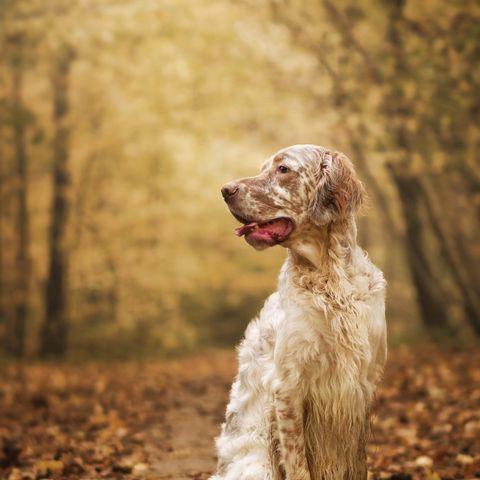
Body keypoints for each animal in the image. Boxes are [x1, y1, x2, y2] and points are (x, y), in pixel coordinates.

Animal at [210, 144, 386, 478]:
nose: (225, 190)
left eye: (283, 169)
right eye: (263, 168)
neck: (331, 281)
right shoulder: (287, 388)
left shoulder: (362, 387)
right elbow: (298, 464)